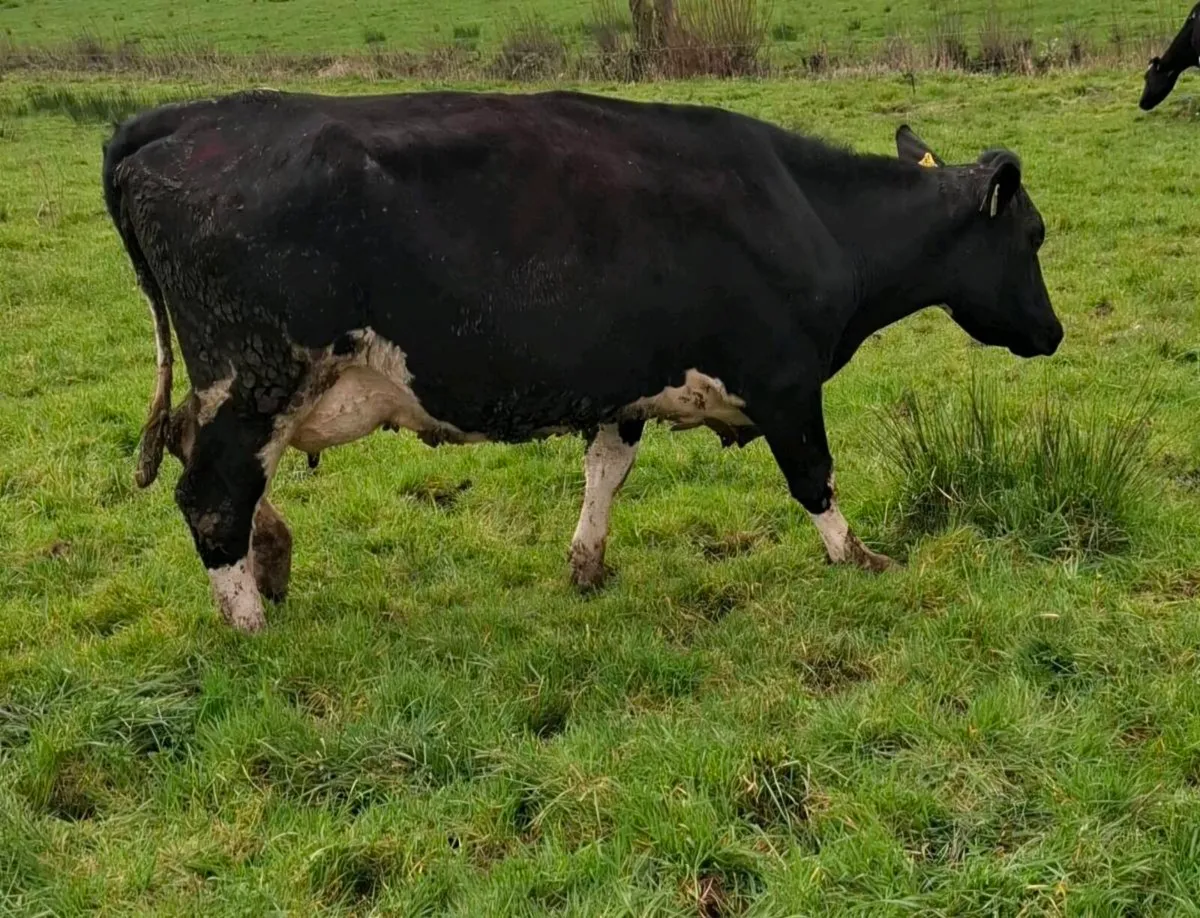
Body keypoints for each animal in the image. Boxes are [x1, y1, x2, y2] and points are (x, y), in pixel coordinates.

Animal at [102, 89, 1062, 632]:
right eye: (1035, 235)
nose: (1053, 334)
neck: (815, 214)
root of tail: (175, 117)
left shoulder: (625, 386)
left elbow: (606, 472)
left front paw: (587, 566)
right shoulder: (785, 383)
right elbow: (814, 479)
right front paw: (858, 559)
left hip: (239, 388)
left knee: (200, 457)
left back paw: (273, 559)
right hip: (256, 378)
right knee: (211, 493)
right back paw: (248, 623)